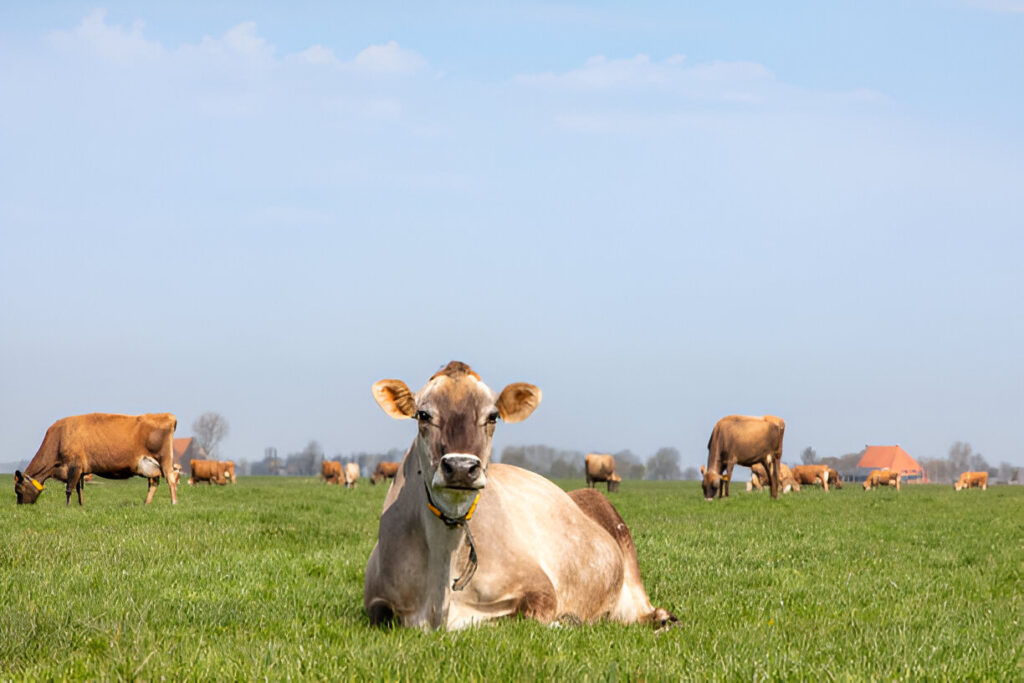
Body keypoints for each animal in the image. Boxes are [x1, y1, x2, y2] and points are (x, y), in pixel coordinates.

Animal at [14, 411, 178, 507]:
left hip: (164, 459)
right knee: (154, 483)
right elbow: (79, 489)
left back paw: (174, 503)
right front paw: (80, 505)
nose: (21, 506)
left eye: (19, 490)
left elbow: (69, 489)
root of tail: (167, 416)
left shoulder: (74, 466)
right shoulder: (79, 470)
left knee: (171, 478)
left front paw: (67, 507)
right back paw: (146, 504)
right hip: (150, 465)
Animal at [364, 360, 675, 634]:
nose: (461, 467)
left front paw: (567, 621)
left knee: (647, 611)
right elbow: (382, 615)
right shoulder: (376, 599)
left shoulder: (540, 588)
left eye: (493, 416)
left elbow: (528, 617)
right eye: (423, 414)